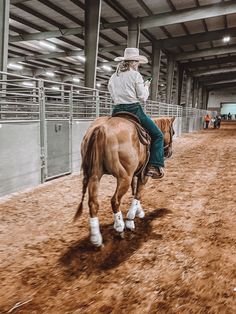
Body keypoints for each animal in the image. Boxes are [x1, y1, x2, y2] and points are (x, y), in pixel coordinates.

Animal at [74, 115, 175, 245]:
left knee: (93, 203)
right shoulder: (144, 175)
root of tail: (101, 129)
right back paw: (119, 228)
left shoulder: (135, 174)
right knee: (115, 200)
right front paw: (130, 221)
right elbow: (138, 194)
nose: (169, 152)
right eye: (173, 132)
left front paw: (139, 212)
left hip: (94, 175)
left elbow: (135, 192)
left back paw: (96, 238)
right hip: (124, 177)